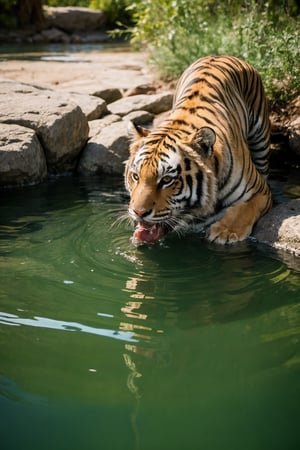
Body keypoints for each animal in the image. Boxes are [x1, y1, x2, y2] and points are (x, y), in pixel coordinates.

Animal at [124, 56, 272, 246]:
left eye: (166, 180)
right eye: (136, 176)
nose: (138, 213)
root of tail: (220, 55)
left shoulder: (260, 191)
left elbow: (244, 209)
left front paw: (225, 232)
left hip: (260, 138)